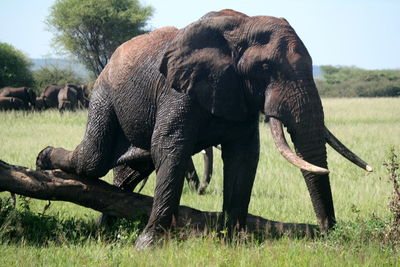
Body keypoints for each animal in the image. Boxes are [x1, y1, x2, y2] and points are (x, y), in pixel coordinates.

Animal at [36, 8, 374, 251]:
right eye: (265, 68)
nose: (329, 233)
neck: (242, 25)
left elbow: (243, 157)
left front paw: (234, 241)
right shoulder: (177, 89)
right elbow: (170, 148)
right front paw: (147, 246)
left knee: (131, 168)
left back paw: (107, 227)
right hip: (104, 94)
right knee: (94, 159)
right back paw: (42, 160)